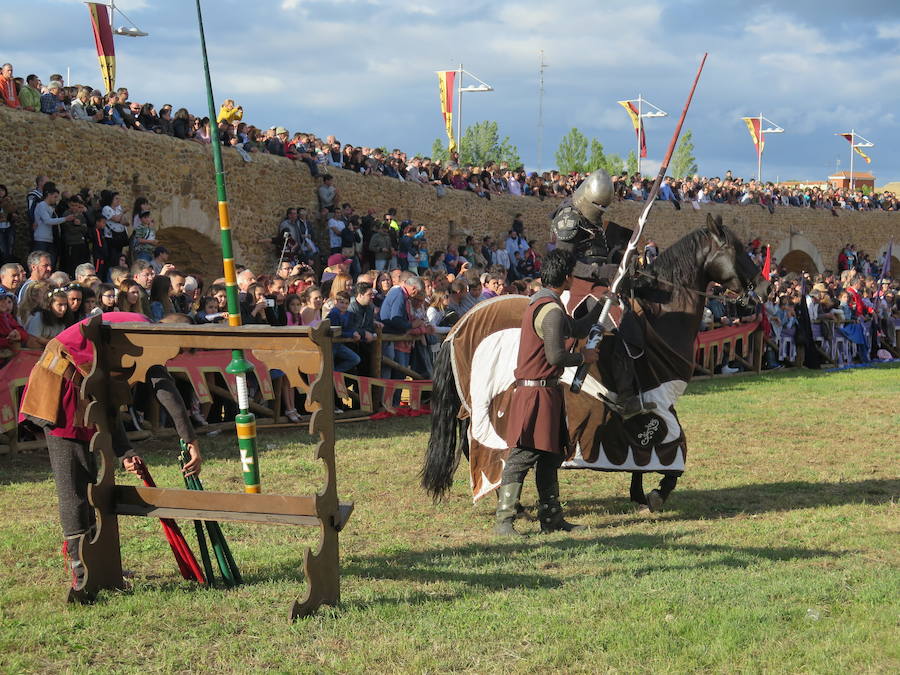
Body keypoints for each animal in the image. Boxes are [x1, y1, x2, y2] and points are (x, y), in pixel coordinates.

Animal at [426, 215, 764, 512]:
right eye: (738, 249)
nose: (764, 288)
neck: (660, 312)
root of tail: (457, 328)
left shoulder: (649, 411)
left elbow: (644, 453)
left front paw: (639, 493)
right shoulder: (659, 401)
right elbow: (674, 451)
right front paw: (658, 493)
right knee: (480, 448)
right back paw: (510, 501)